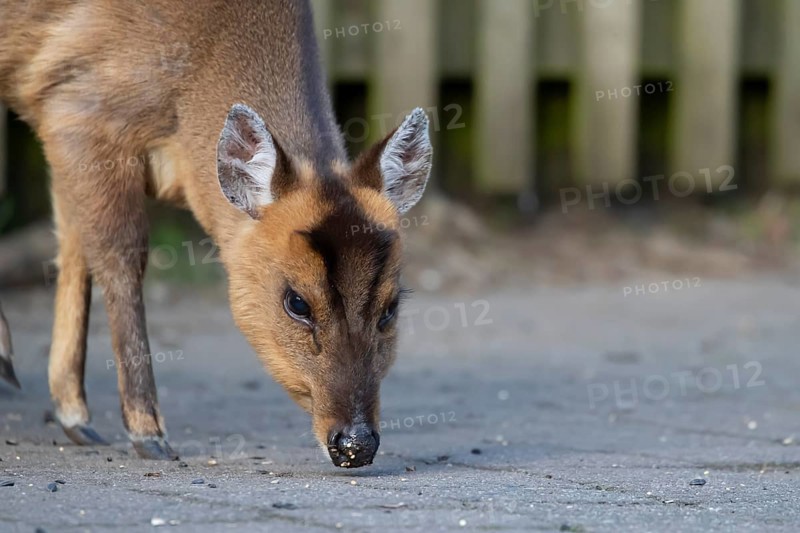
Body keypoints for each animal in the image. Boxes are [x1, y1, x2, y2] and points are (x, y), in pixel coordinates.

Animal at [0, 0, 432, 468]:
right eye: (297, 302)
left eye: (390, 307)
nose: (356, 443)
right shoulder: (81, 110)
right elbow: (119, 256)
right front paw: (148, 433)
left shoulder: (62, 119)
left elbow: (74, 244)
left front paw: (75, 416)